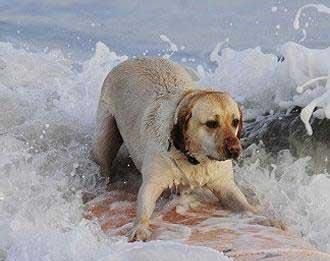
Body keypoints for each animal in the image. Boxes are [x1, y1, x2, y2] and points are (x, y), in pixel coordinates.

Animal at [91, 57, 256, 240]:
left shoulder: (224, 185)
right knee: (103, 158)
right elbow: (144, 206)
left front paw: (262, 216)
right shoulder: (153, 181)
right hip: (104, 135)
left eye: (235, 121)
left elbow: (244, 205)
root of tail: (133, 59)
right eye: (212, 123)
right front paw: (140, 228)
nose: (235, 149)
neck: (194, 159)